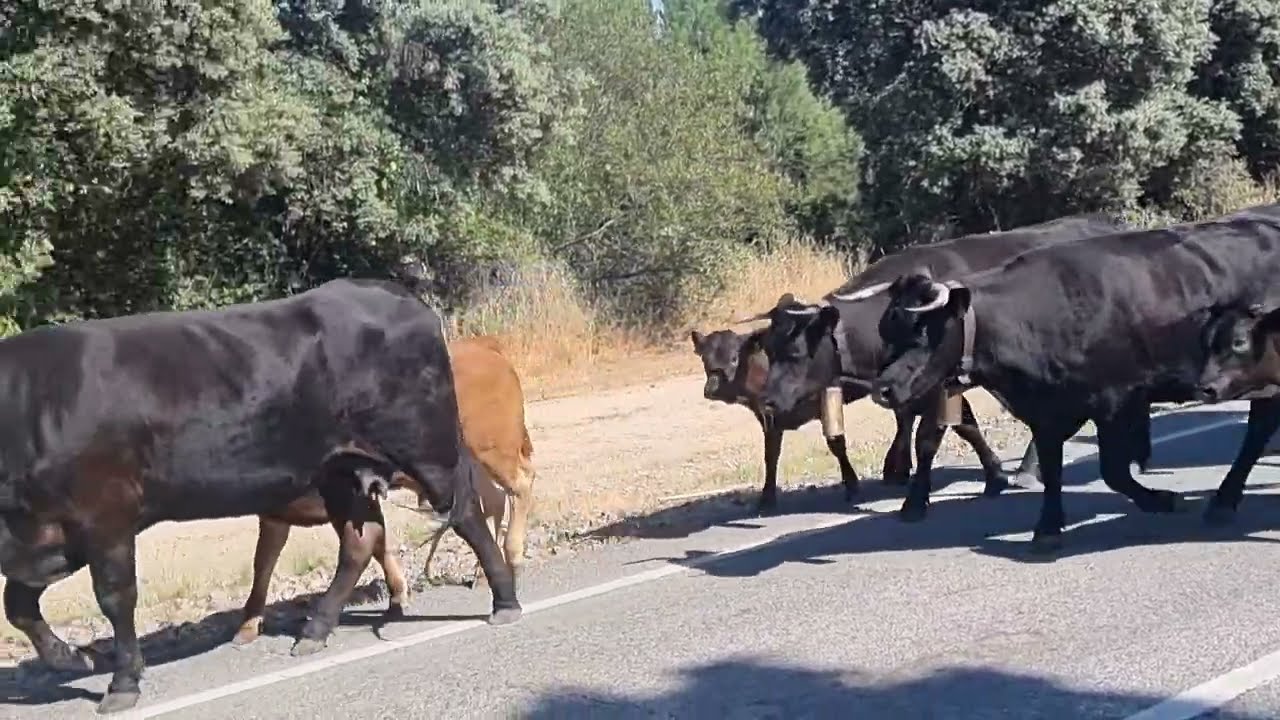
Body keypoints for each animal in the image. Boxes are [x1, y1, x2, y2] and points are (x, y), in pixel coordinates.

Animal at [231, 334, 536, 646]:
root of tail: (483, 345)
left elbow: (370, 544)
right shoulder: (274, 516)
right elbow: (262, 564)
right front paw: (248, 624)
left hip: (493, 448)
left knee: (520, 484)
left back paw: (513, 556)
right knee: (494, 500)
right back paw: (484, 573)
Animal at [749, 214, 1146, 511]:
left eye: (795, 352)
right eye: (769, 348)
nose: (768, 401)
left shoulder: (935, 385)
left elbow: (929, 436)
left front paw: (917, 497)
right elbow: (965, 424)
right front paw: (994, 474)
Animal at [868, 204, 1280, 553]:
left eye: (921, 333)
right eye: (886, 332)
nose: (882, 390)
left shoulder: (1115, 401)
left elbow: (1112, 471)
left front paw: (1161, 499)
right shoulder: (1045, 411)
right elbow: (1053, 469)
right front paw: (1048, 526)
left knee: (1258, 429)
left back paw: (1223, 499)